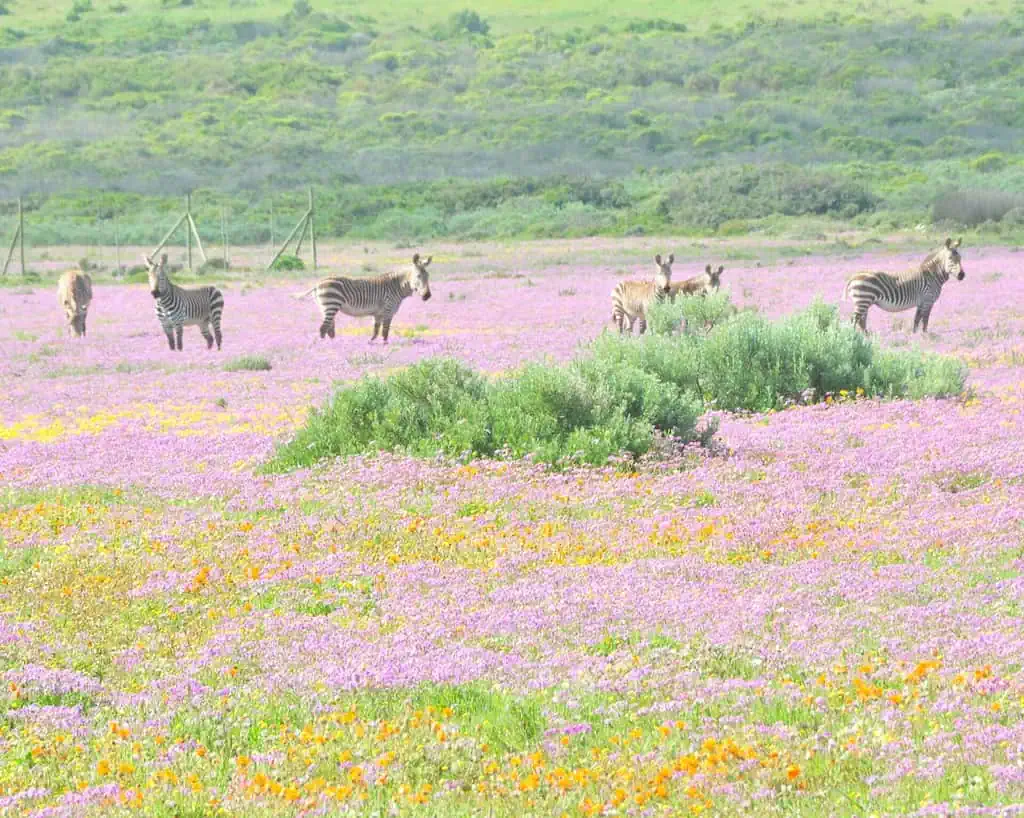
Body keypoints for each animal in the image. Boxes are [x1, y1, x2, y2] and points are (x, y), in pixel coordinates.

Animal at [293, 253, 433, 343]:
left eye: (428, 276)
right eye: (418, 276)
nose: (427, 296)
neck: (397, 286)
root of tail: (317, 284)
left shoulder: (378, 313)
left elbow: (376, 329)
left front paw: (371, 342)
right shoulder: (388, 310)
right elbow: (385, 330)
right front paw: (385, 344)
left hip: (325, 307)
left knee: (329, 328)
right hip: (331, 305)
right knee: (323, 328)